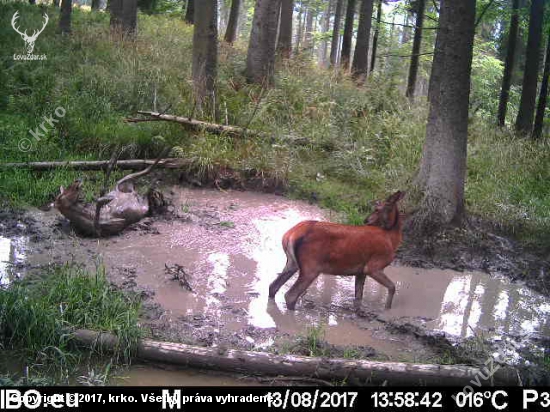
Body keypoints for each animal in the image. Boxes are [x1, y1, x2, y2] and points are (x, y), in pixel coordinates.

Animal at [270, 192, 408, 310]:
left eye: (377, 209)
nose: (366, 220)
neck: (392, 239)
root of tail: (290, 235)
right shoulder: (373, 266)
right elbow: (392, 287)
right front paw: (387, 309)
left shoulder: (360, 271)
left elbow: (358, 298)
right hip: (311, 266)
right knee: (290, 295)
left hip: (292, 262)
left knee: (273, 286)